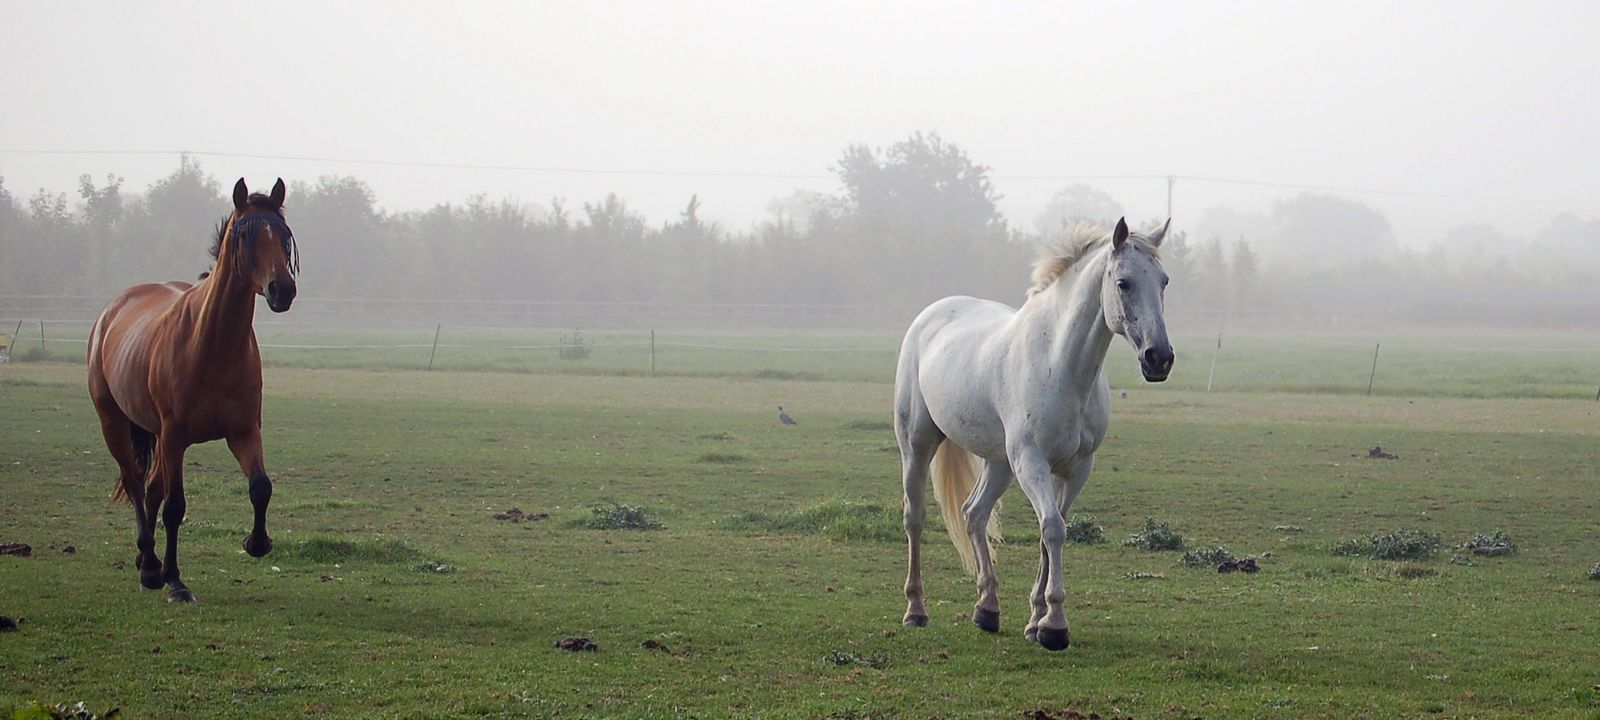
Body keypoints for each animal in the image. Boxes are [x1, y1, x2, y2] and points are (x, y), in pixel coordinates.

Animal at [87, 178, 299, 602]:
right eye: (244, 234)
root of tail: (112, 309)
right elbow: (175, 507)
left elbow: (260, 487)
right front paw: (175, 582)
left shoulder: (243, 431)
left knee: (150, 489)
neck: (213, 345)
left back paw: (146, 560)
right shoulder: (175, 435)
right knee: (136, 483)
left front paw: (257, 542)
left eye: (284, 235)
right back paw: (151, 567)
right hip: (114, 423)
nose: (281, 290)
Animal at [894, 217, 1173, 650]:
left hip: (999, 463)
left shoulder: (1075, 468)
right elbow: (1053, 530)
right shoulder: (1032, 463)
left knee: (974, 514)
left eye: (1163, 281)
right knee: (915, 518)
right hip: (918, 444)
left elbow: (1050, 532)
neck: (1059, 364)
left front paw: (1036, 620)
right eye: (1124, 283)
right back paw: (916, 610)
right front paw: (1054, 626)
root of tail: (932, 315)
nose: (1159, 359)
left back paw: (987, 609)